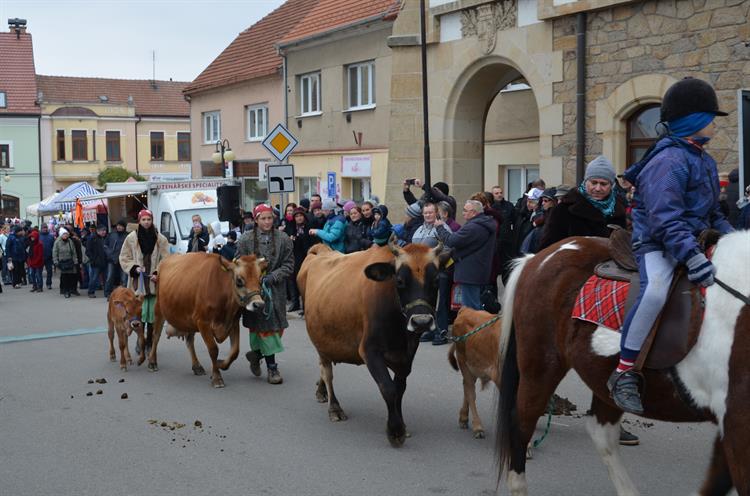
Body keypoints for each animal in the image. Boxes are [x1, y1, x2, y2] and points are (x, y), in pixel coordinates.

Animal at [147, 252, 268, 388]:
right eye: (239, 280)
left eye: (260, 279)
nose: (259, 305)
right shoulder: (203, 322)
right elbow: (213, 349)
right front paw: (217, 377)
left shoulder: (233, 322)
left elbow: (235, 351)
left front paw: (220, 364)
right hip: (159, 309)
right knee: (156, 336)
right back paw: (152, 362)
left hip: (189, 318)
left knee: (189, 341)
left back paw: (197, 366)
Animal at [298, 234, 452, 448]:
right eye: (400, 281)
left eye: (436, 280)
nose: (422, 322)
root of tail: (320, 251)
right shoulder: (370, 351)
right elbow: (388, 388)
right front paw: (395, 431)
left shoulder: (407, 356)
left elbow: (399, 389)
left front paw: (402, 424)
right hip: (320, 338)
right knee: (327, 371)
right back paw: (334, 407)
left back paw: (321, 391)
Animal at [450, 308, 502, 440]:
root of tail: (466, 310)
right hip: (463, 362)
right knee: (470, 392)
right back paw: (478, 427)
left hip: (473, 367)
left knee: (466, 386)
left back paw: (463, 418)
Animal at [496, 232, 748, 496]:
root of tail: (536, 258)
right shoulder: (737, 424)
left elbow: (717, 481)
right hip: (540, 368)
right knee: (521, 425)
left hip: (601, 379)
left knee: (601, 432)